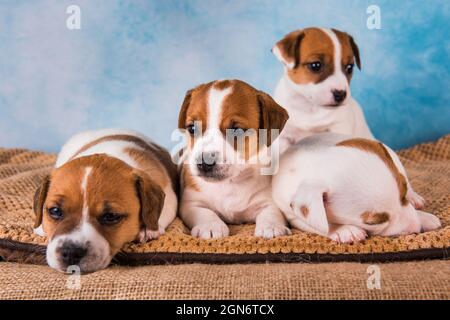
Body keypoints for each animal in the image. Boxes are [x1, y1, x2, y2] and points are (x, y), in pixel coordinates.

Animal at [178, 79, 294, 240]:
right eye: (192, 128)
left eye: (237, 131)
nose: (204, 163)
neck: (231, 183)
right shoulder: (191, 203)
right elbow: (204, 212)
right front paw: (211, 226)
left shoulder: (268, 201)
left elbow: (271, 212)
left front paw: (272, 227)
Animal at [272, 132, 442, 242]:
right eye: (373, 222)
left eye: (403, 195)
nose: (416, 227)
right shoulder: (293, 215)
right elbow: (320, 225)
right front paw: (344, 230)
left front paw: (423, 216)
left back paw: (415, 198)